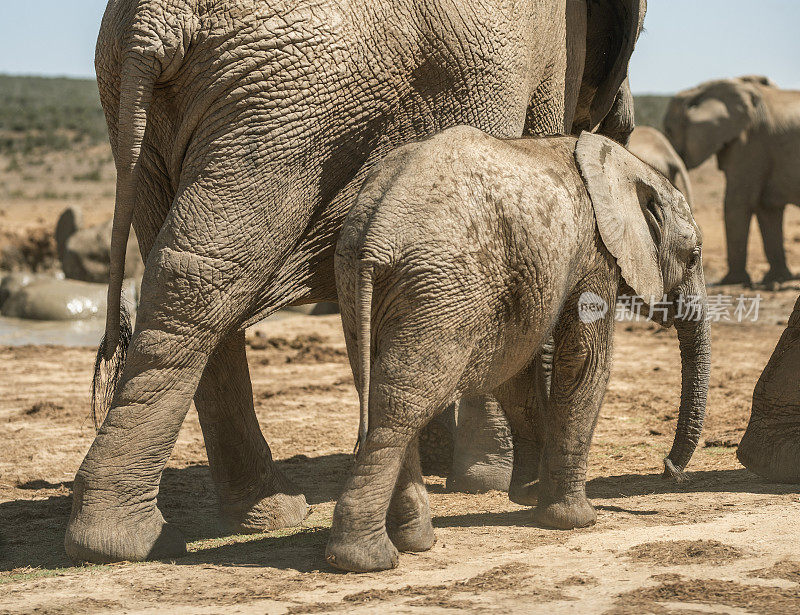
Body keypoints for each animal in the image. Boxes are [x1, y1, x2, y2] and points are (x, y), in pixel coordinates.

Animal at [65, 0, 648, 564]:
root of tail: (154, 21)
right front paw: (496, 482)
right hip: (289, 99)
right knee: (209, 270)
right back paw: (122, 541)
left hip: (180, 99)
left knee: (191, 267)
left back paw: (258, 515)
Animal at [328, 126, 708, 572]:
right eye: (694, 256)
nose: (669, 471)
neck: (623, 163)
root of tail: (377, 231)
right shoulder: (595, 254)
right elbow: (584, 362)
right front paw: (576, 521)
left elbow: (518, 366)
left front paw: (530, 497)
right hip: (442, 286)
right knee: (404, 403)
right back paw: (365, 560)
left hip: (355, 277)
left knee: (379, 390)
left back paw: (416, 543)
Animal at [664, 76, 800, 286]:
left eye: (669, 131)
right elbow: (767, 209)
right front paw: (776, 278)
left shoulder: (750, 143)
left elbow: (737, 203)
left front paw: (732, 281)